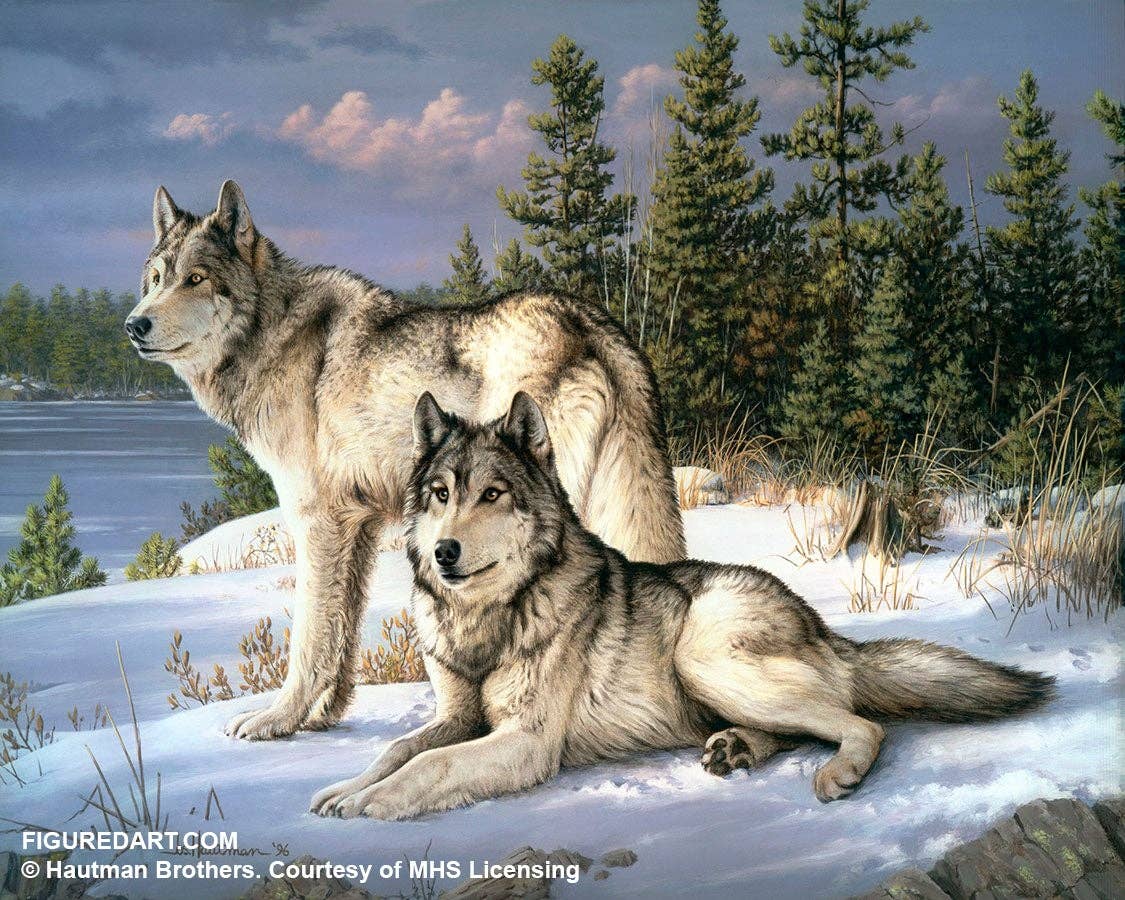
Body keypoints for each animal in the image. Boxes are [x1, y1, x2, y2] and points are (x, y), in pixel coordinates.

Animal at [125, 182, 685, 793]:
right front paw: (323, 718)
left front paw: (278, 720)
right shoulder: (359, 527)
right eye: (156, 278)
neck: (271, 334)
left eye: (196, 279)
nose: (134, 325)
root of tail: (592, 323)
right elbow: (342, 635)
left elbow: (308, 639)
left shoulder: (316, 522)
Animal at [309, 391, 1055, 819]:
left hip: (703, 658)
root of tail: (819, 625)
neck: (488, 619)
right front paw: (346, 789)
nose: (444, 553)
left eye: (492, 495)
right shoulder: (457, 717)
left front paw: (370, 805)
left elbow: (427, 765)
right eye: (440, 494)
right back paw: (736, 748)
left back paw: (834, 774)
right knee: (810, 724)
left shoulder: (525, 740)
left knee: (863, 725)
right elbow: (399, 749)